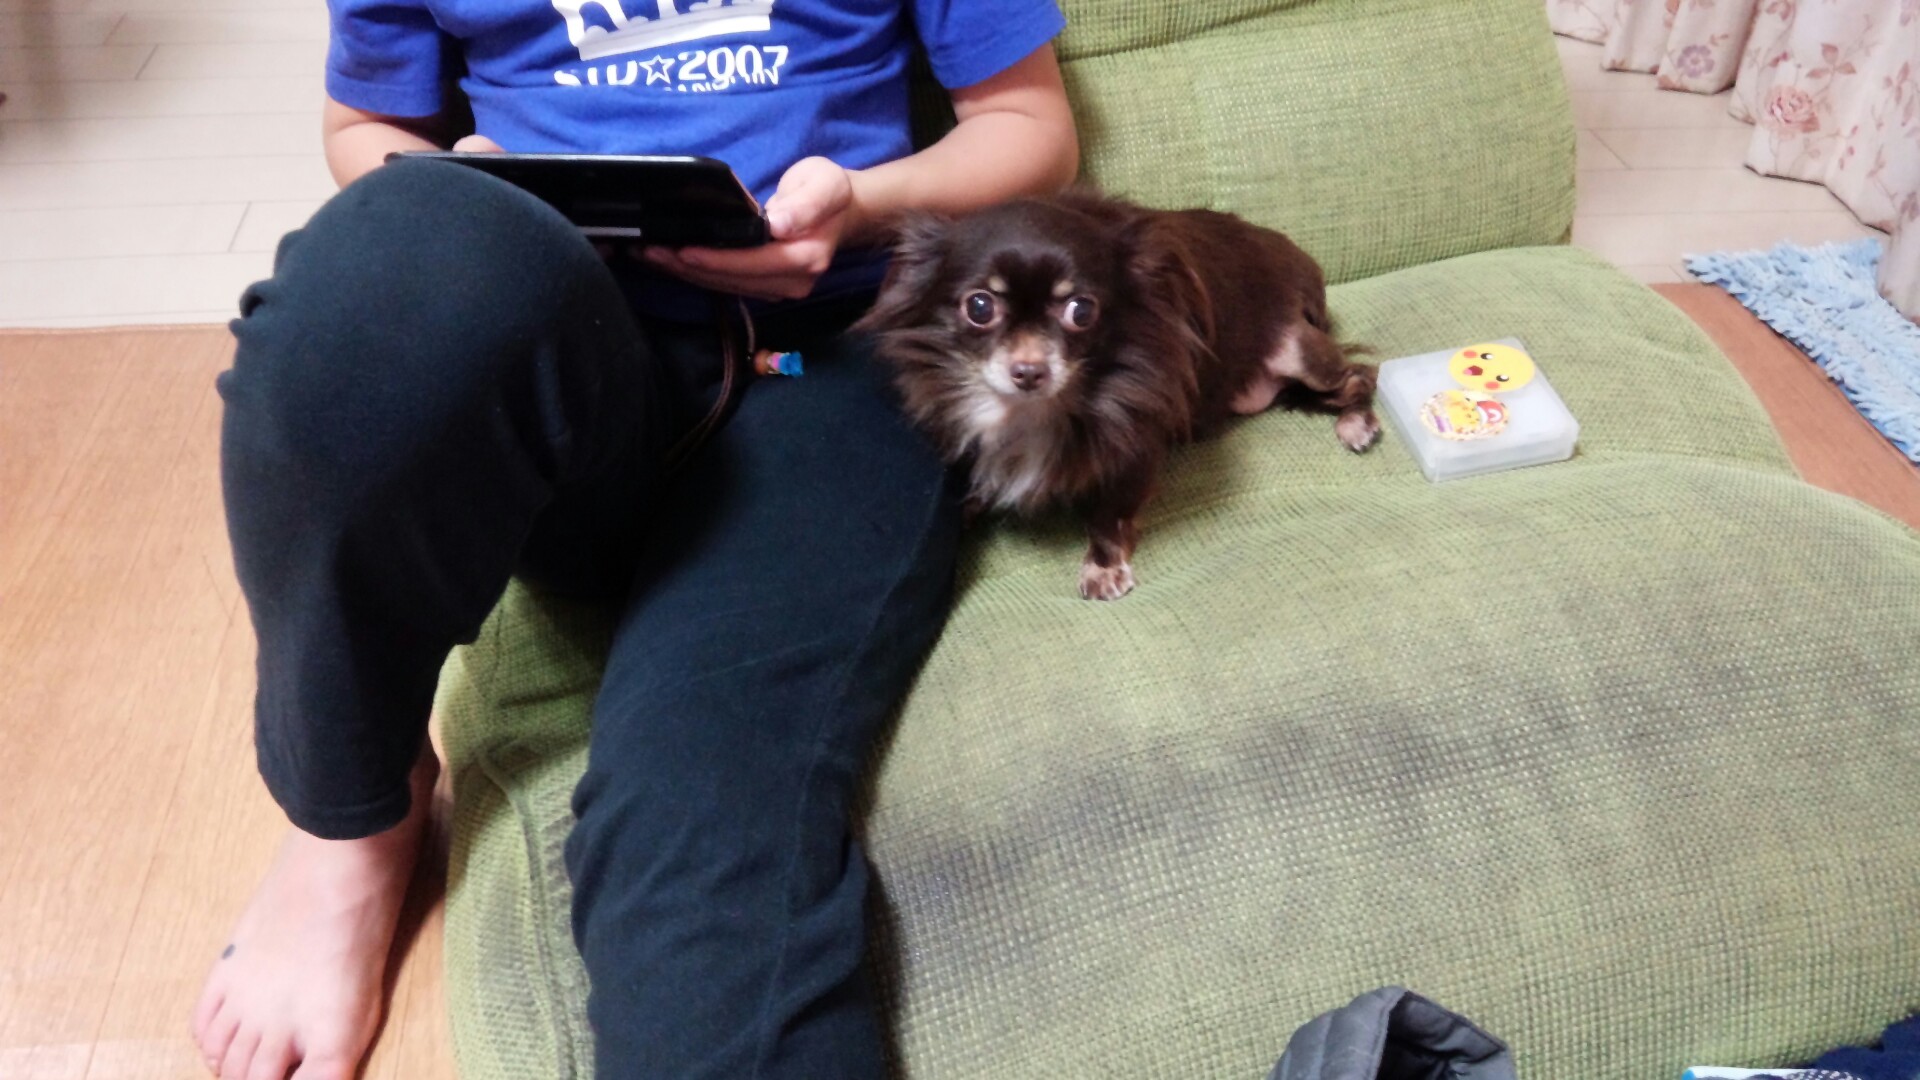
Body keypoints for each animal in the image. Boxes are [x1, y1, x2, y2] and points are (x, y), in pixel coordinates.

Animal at [853, 192, 1378, 600]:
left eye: (1080, 310)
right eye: (979, 307)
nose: (1029, 371)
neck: (1031, 413)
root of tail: (1294, 252)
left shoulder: (1136, 448)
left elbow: (1108, 513)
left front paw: (1103, 567)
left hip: (1296, 350)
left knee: (1361, 375)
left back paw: (1358, 423)